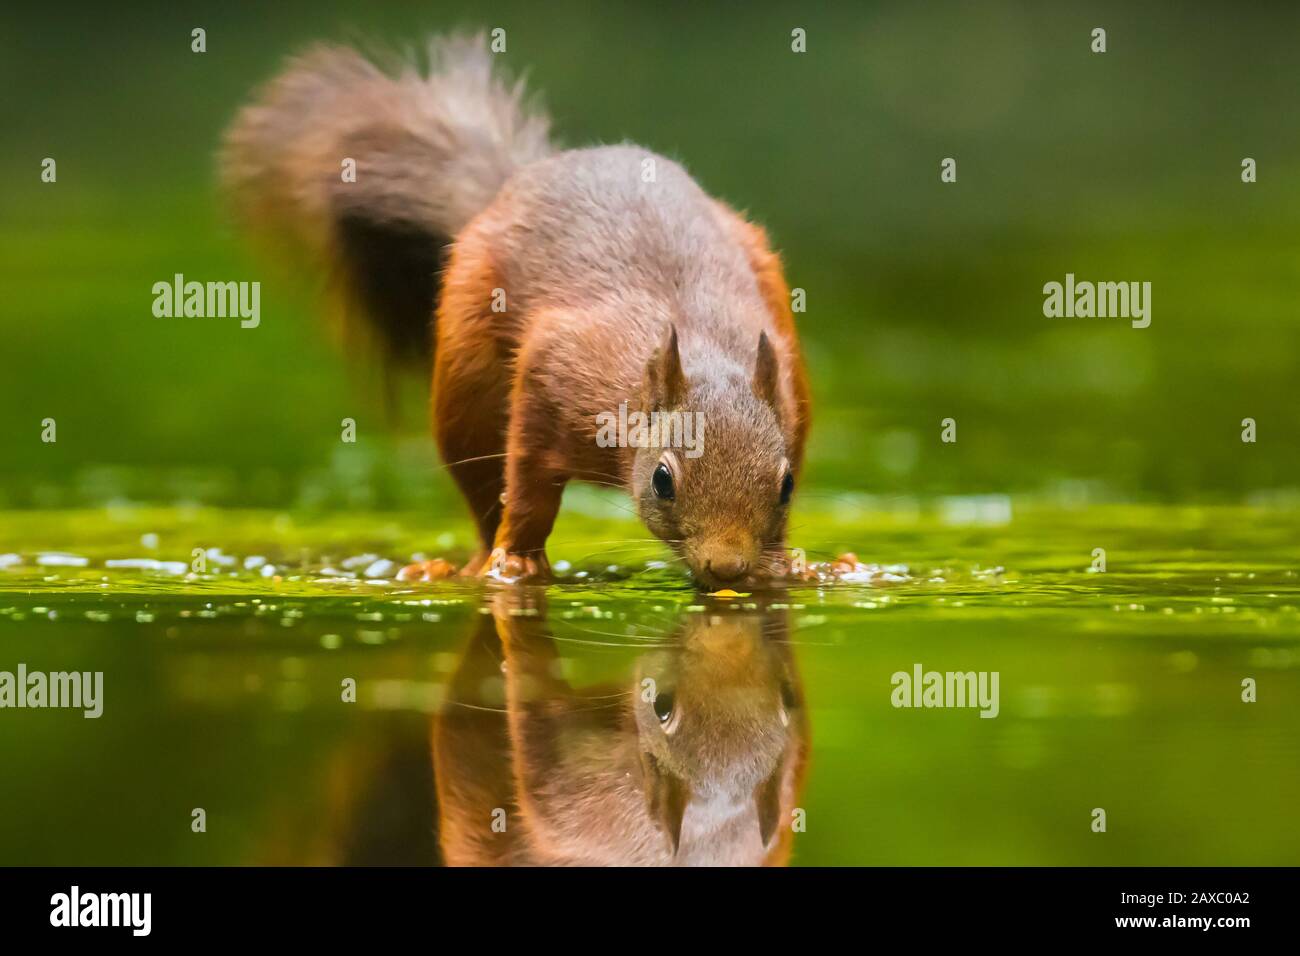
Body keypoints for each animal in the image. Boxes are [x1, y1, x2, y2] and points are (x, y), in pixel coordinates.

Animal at [222, 33, 811, 589]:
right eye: (662, 480)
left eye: (786, 486)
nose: (728, 567)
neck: (696, 342)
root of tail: (516, 181)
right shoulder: (554, 373)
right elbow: (528, 484)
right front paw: (519, 560)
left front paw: (786, 566)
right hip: (467, 389)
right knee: (485, 491)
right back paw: (474, 562)